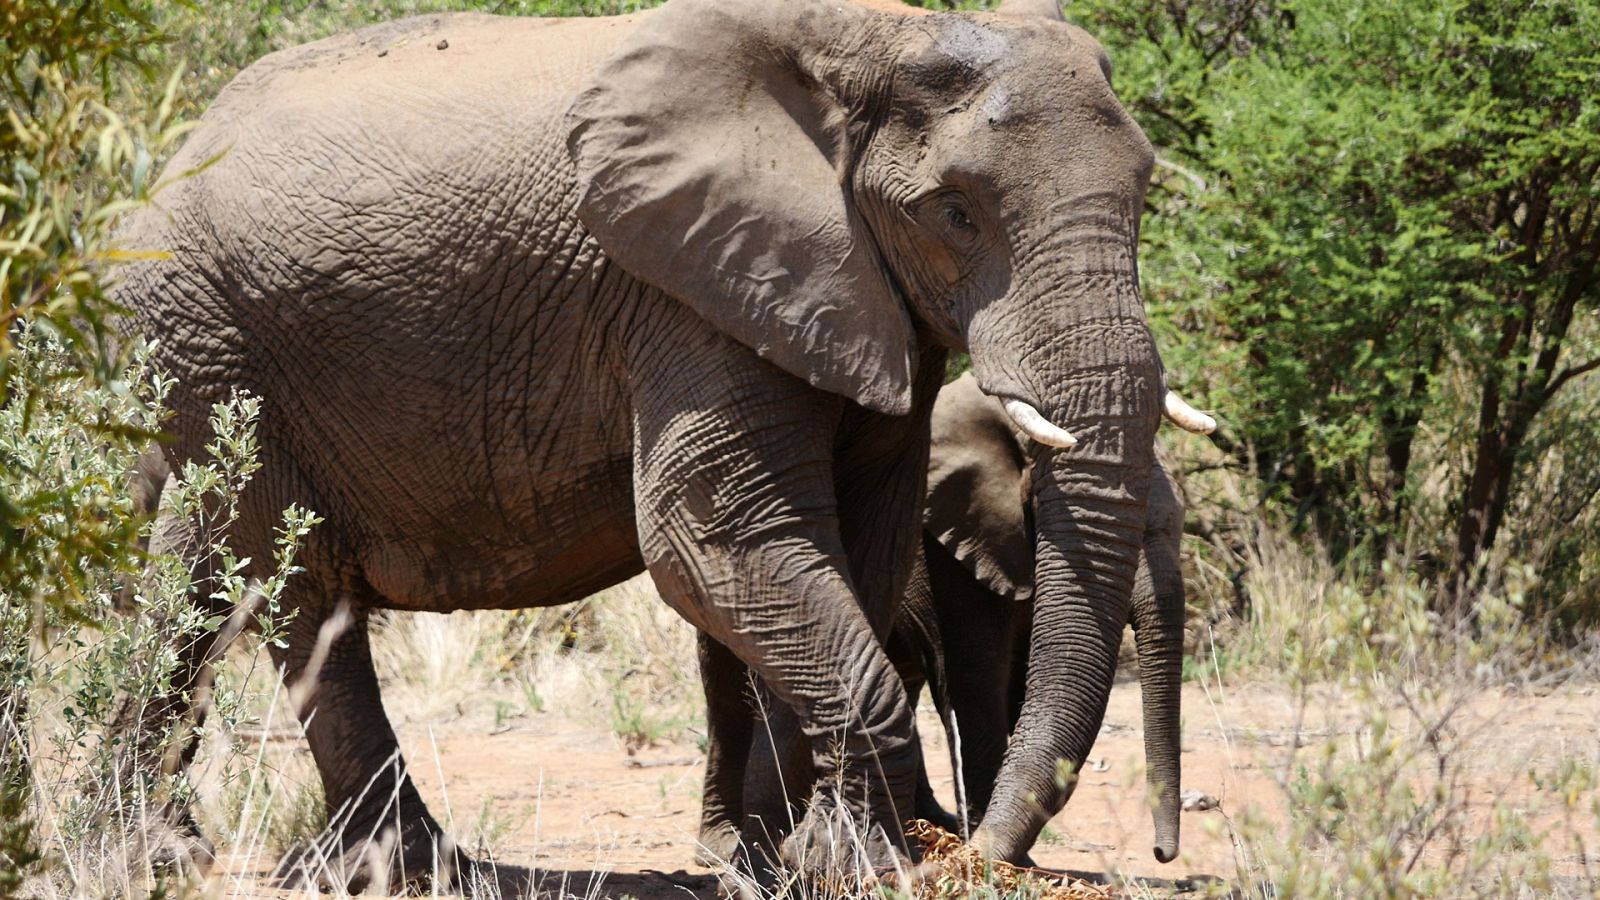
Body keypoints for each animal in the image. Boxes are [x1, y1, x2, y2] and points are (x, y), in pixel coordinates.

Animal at [695, 373, 1191, 867]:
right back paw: (720, 847)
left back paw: (928, 824)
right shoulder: (954, 545)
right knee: (726, 683)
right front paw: (1003, 858)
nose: (1160, 852)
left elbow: (1024, 682)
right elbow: (978, 676)